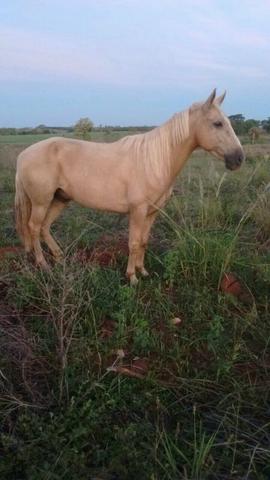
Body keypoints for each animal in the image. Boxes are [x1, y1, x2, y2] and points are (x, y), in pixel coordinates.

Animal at [15, 89, 246, 284]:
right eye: (217, 123)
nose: (238, 159)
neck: (154, 160)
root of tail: (24, 154)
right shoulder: (137, 211)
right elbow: (133, 242)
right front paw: (132, 277)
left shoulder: (152, 212)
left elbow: (143, 241)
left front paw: (142, 271)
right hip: (41, 202)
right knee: (33, 227)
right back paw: (43, 265)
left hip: (60, 198)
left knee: (44, 227)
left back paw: (59, 257)